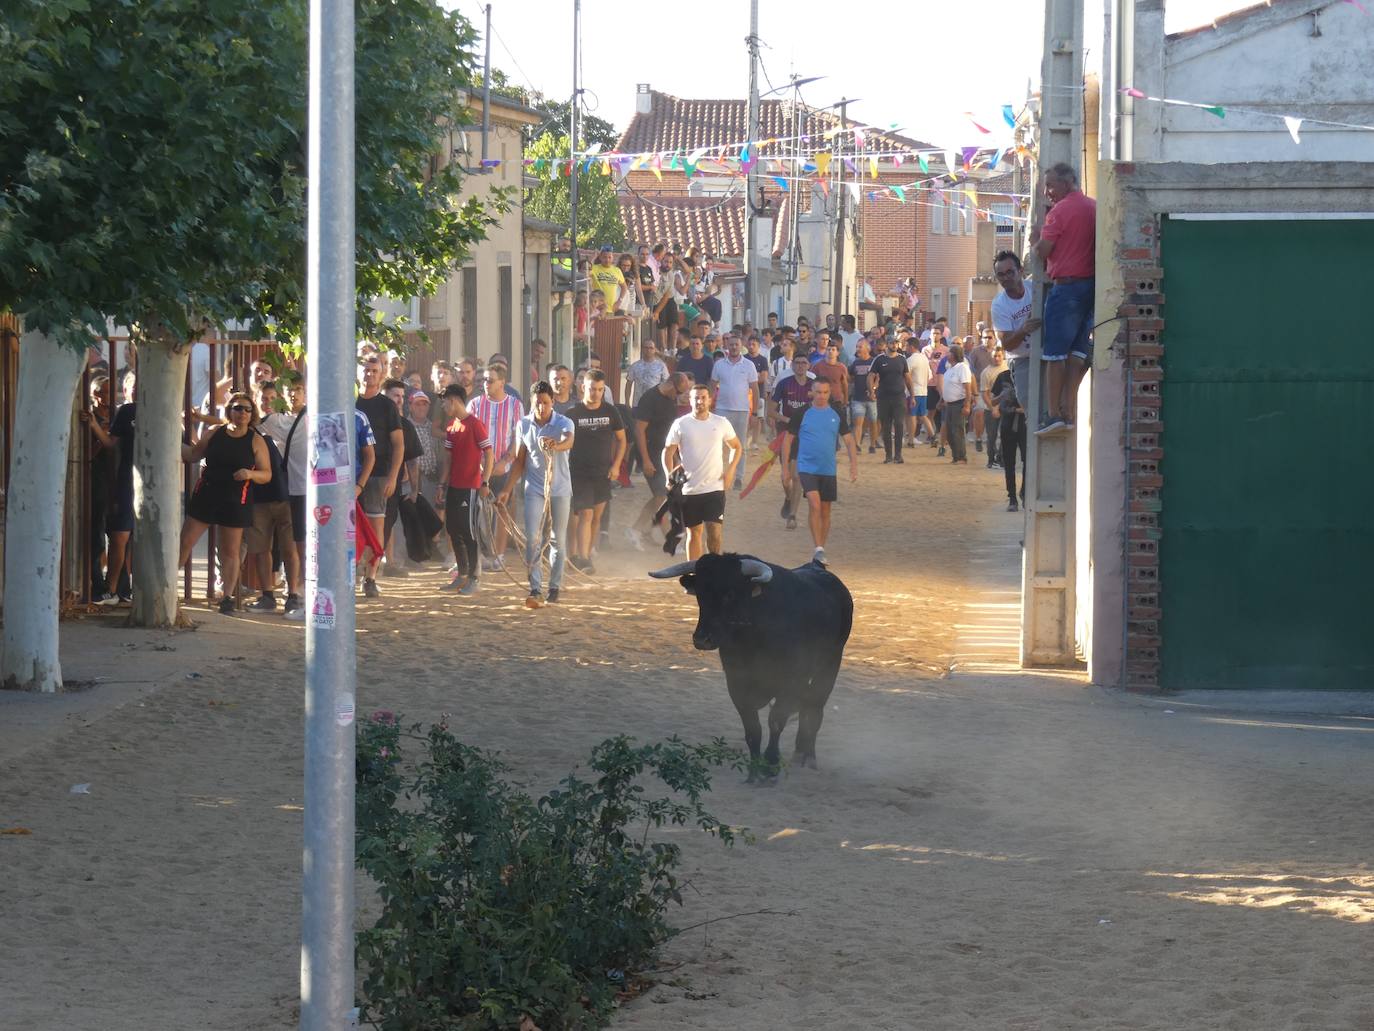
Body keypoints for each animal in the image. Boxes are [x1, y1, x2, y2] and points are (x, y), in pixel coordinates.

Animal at [648, 552, 851, 780]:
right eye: (700, 593)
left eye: (729, 594)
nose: (702, 640)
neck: (753, 636)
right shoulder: (737, 684)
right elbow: (753, 729)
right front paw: (754, 773)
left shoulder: (790, 682)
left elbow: (776, 720)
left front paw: (771, 766)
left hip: (829, 666)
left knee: (814, 710)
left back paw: (807, 757)